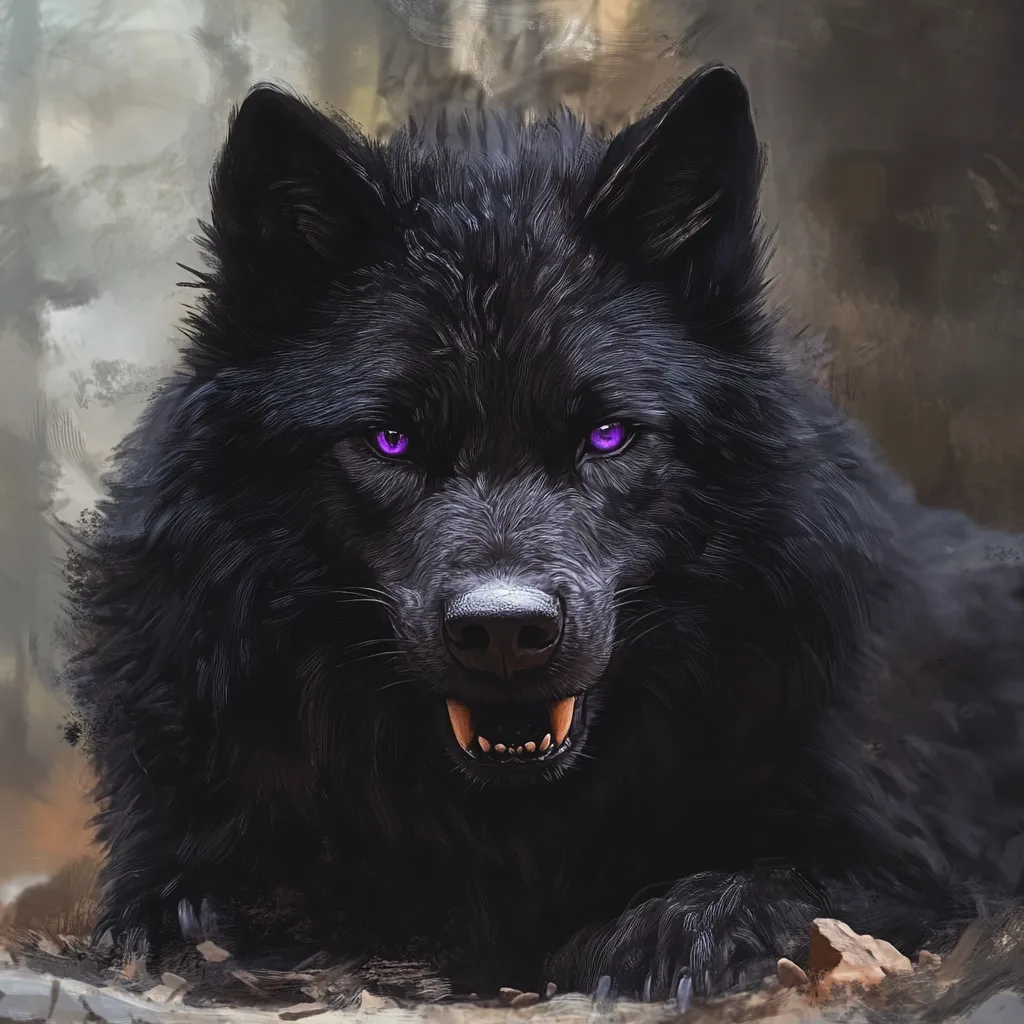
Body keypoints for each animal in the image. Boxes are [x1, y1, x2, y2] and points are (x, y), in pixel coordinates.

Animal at [64, 63, 1024, 1001]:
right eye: (390, 440)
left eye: (607, 436)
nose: (504, 632)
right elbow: (201, 901)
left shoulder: (907, 863)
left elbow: (778, 888)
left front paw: (667, 934)